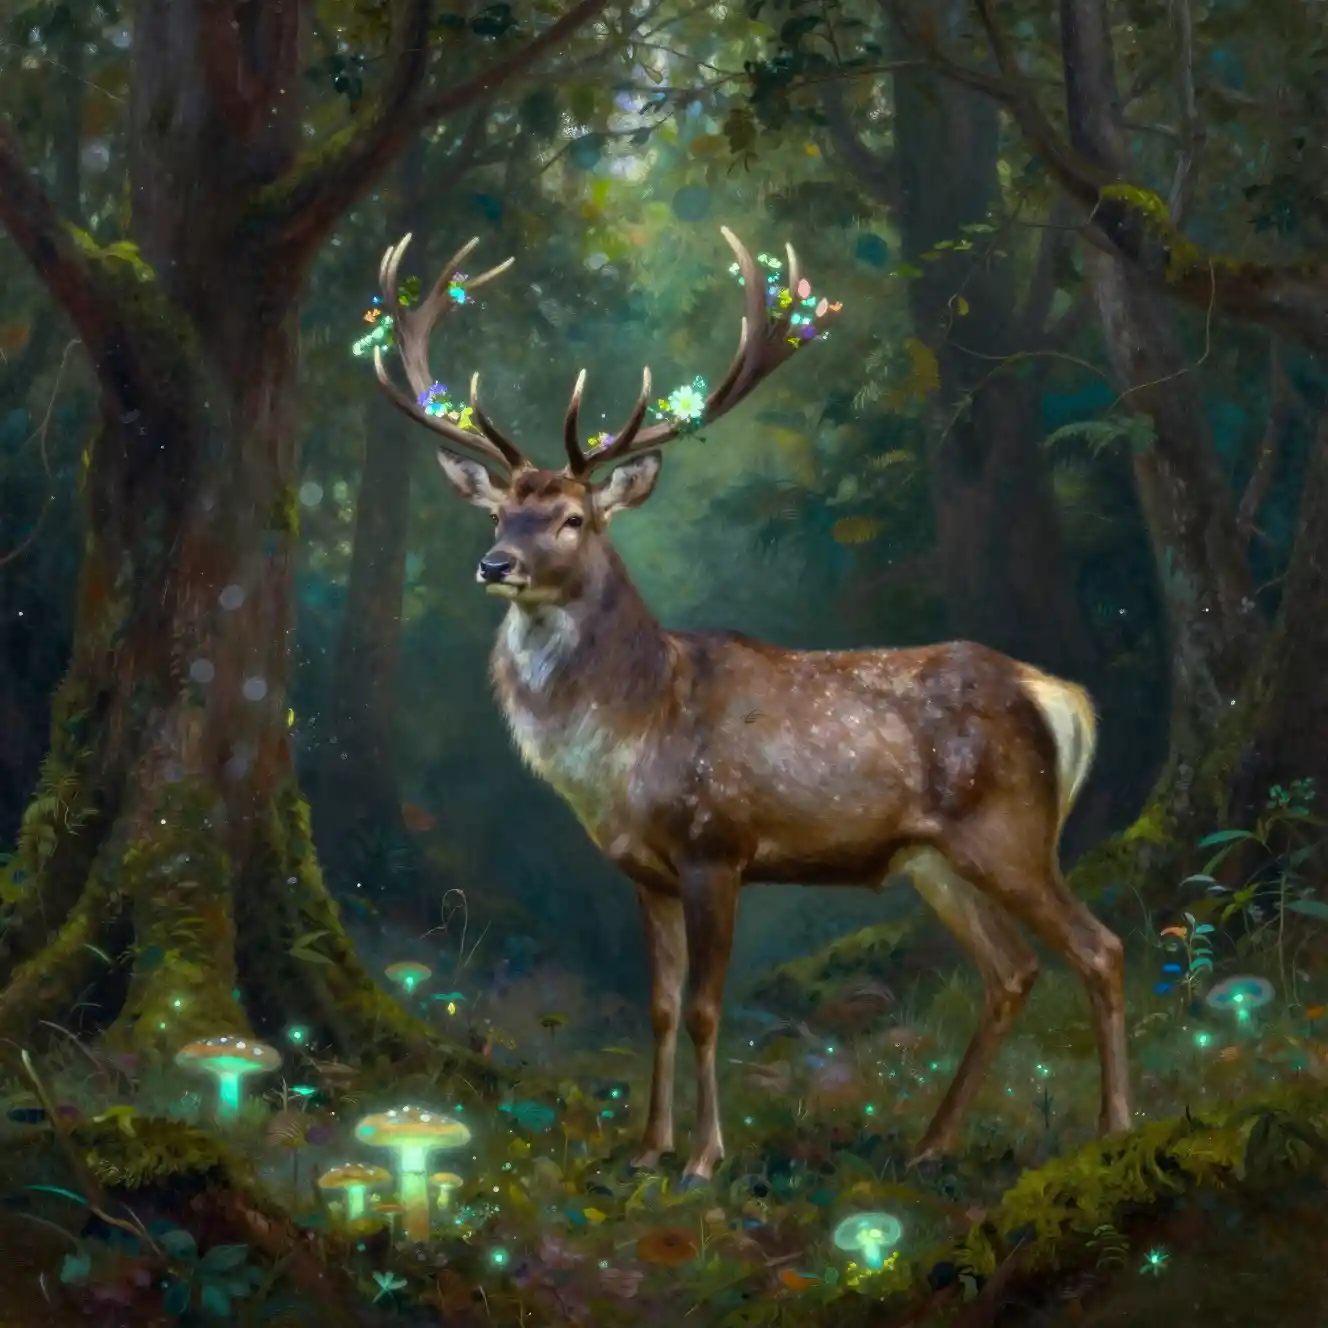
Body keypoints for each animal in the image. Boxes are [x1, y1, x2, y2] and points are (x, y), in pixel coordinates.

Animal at [371, 227, 1131, 1188]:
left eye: (575, 518)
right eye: (499, 512)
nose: (494, 564)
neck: (633, 735)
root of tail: (1058, 696)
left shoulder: (717, 845)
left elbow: (704, 1007)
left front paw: (704, 1158)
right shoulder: (643, 871)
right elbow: (658, 1006)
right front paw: (648, 1148)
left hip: (1012, 831)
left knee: (1099, 948)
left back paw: (1114, 1128)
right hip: (934, 860)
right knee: (1013, 972)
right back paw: (931, 1143)